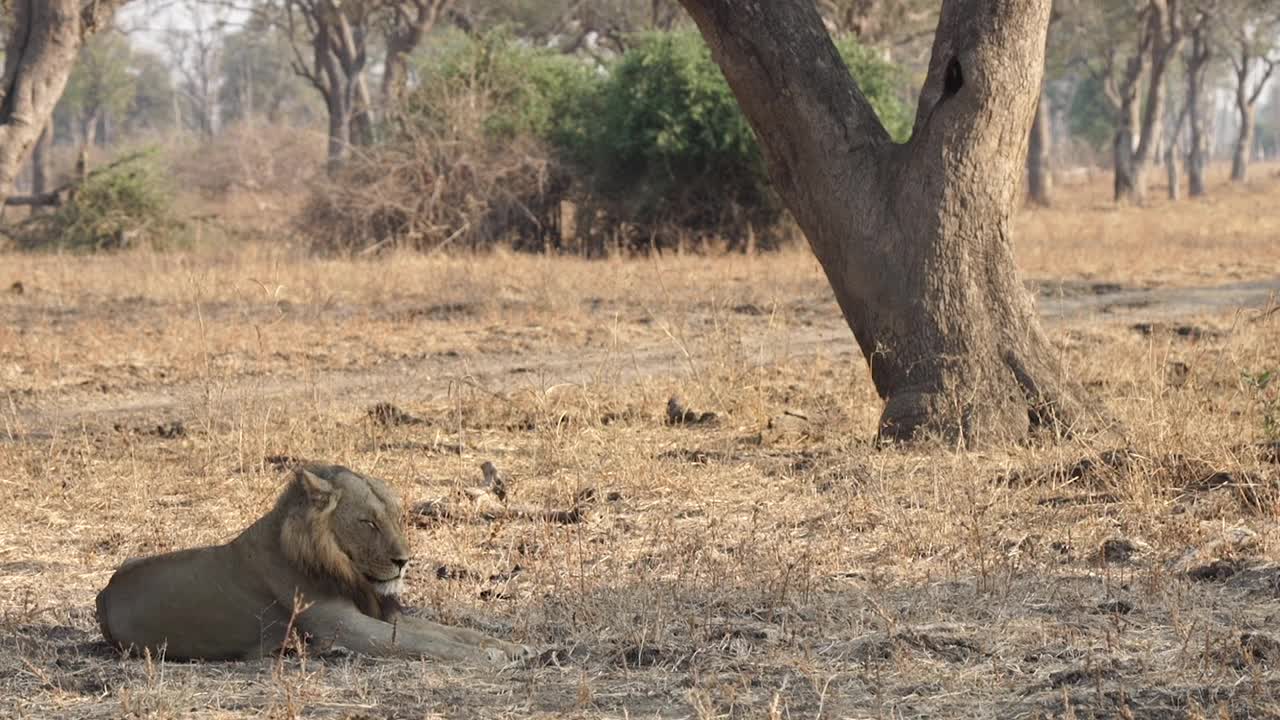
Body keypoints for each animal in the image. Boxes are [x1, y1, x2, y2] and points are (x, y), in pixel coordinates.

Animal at [92, 466, 527, 661]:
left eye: (395, 517)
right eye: (367, 522)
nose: (404, 561)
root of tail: (105, 592)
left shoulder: (381, 614)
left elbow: (451, 632)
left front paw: (511, 646)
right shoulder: (344, 629)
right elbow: (425, 643)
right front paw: (490, 657)